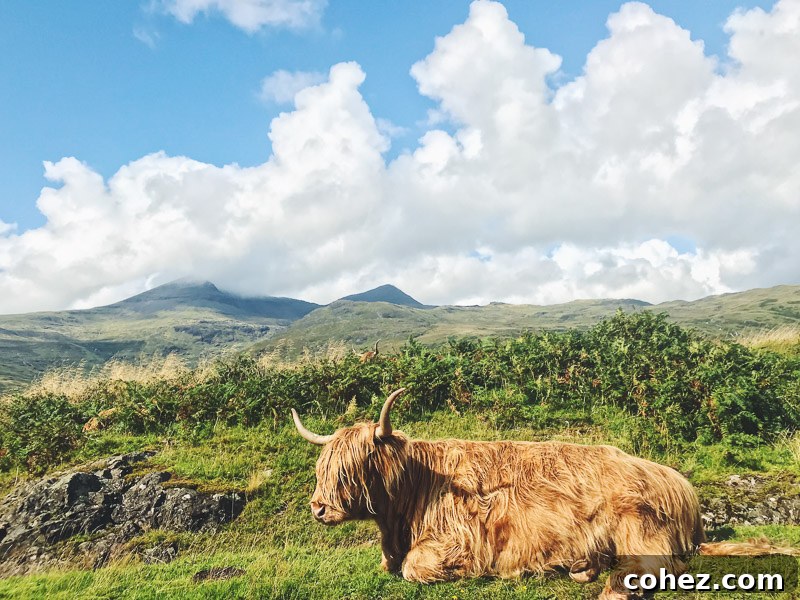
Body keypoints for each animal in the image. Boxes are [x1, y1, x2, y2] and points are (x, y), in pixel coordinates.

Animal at [292, 388, 797, 599]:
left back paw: (608, 587)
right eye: (322, 469)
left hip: (636, 522)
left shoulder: (460, 540)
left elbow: (416, 568)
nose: (318, 508)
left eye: (350, 469)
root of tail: (678, 483)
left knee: (657, 568)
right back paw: (584, 567)